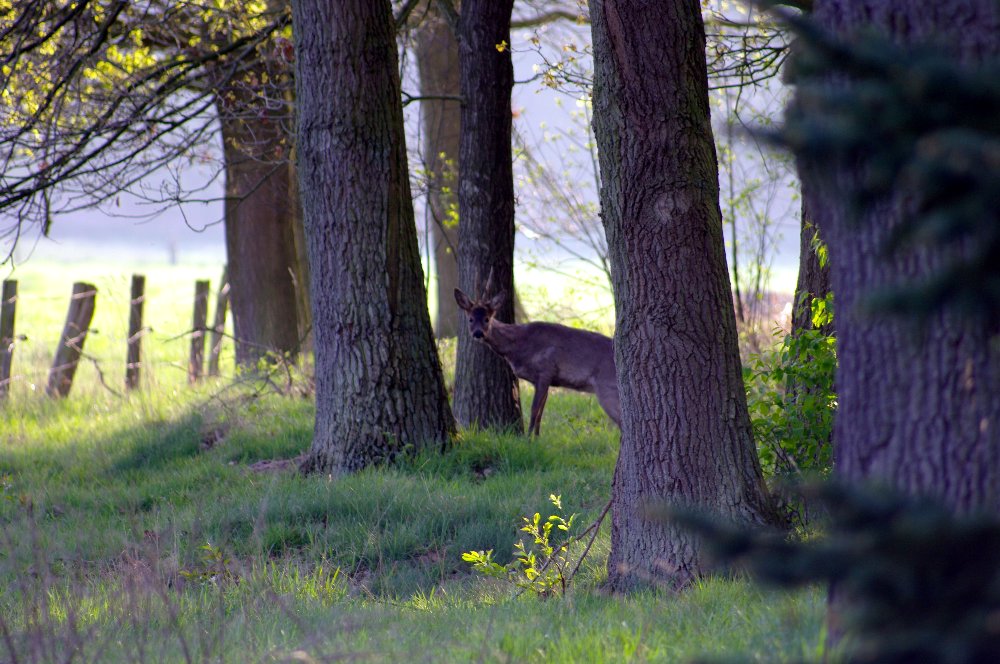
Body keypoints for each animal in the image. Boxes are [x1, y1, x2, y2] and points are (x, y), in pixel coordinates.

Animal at [454, 286, 616, 436]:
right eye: (470, 319)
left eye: (487, 319)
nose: (478, 333)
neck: (518, 345)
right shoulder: (543, 380)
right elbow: (540, 414)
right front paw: (536, 439)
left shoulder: (545, 371)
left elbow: (534, 410)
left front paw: (528, 440)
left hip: (606, 387)